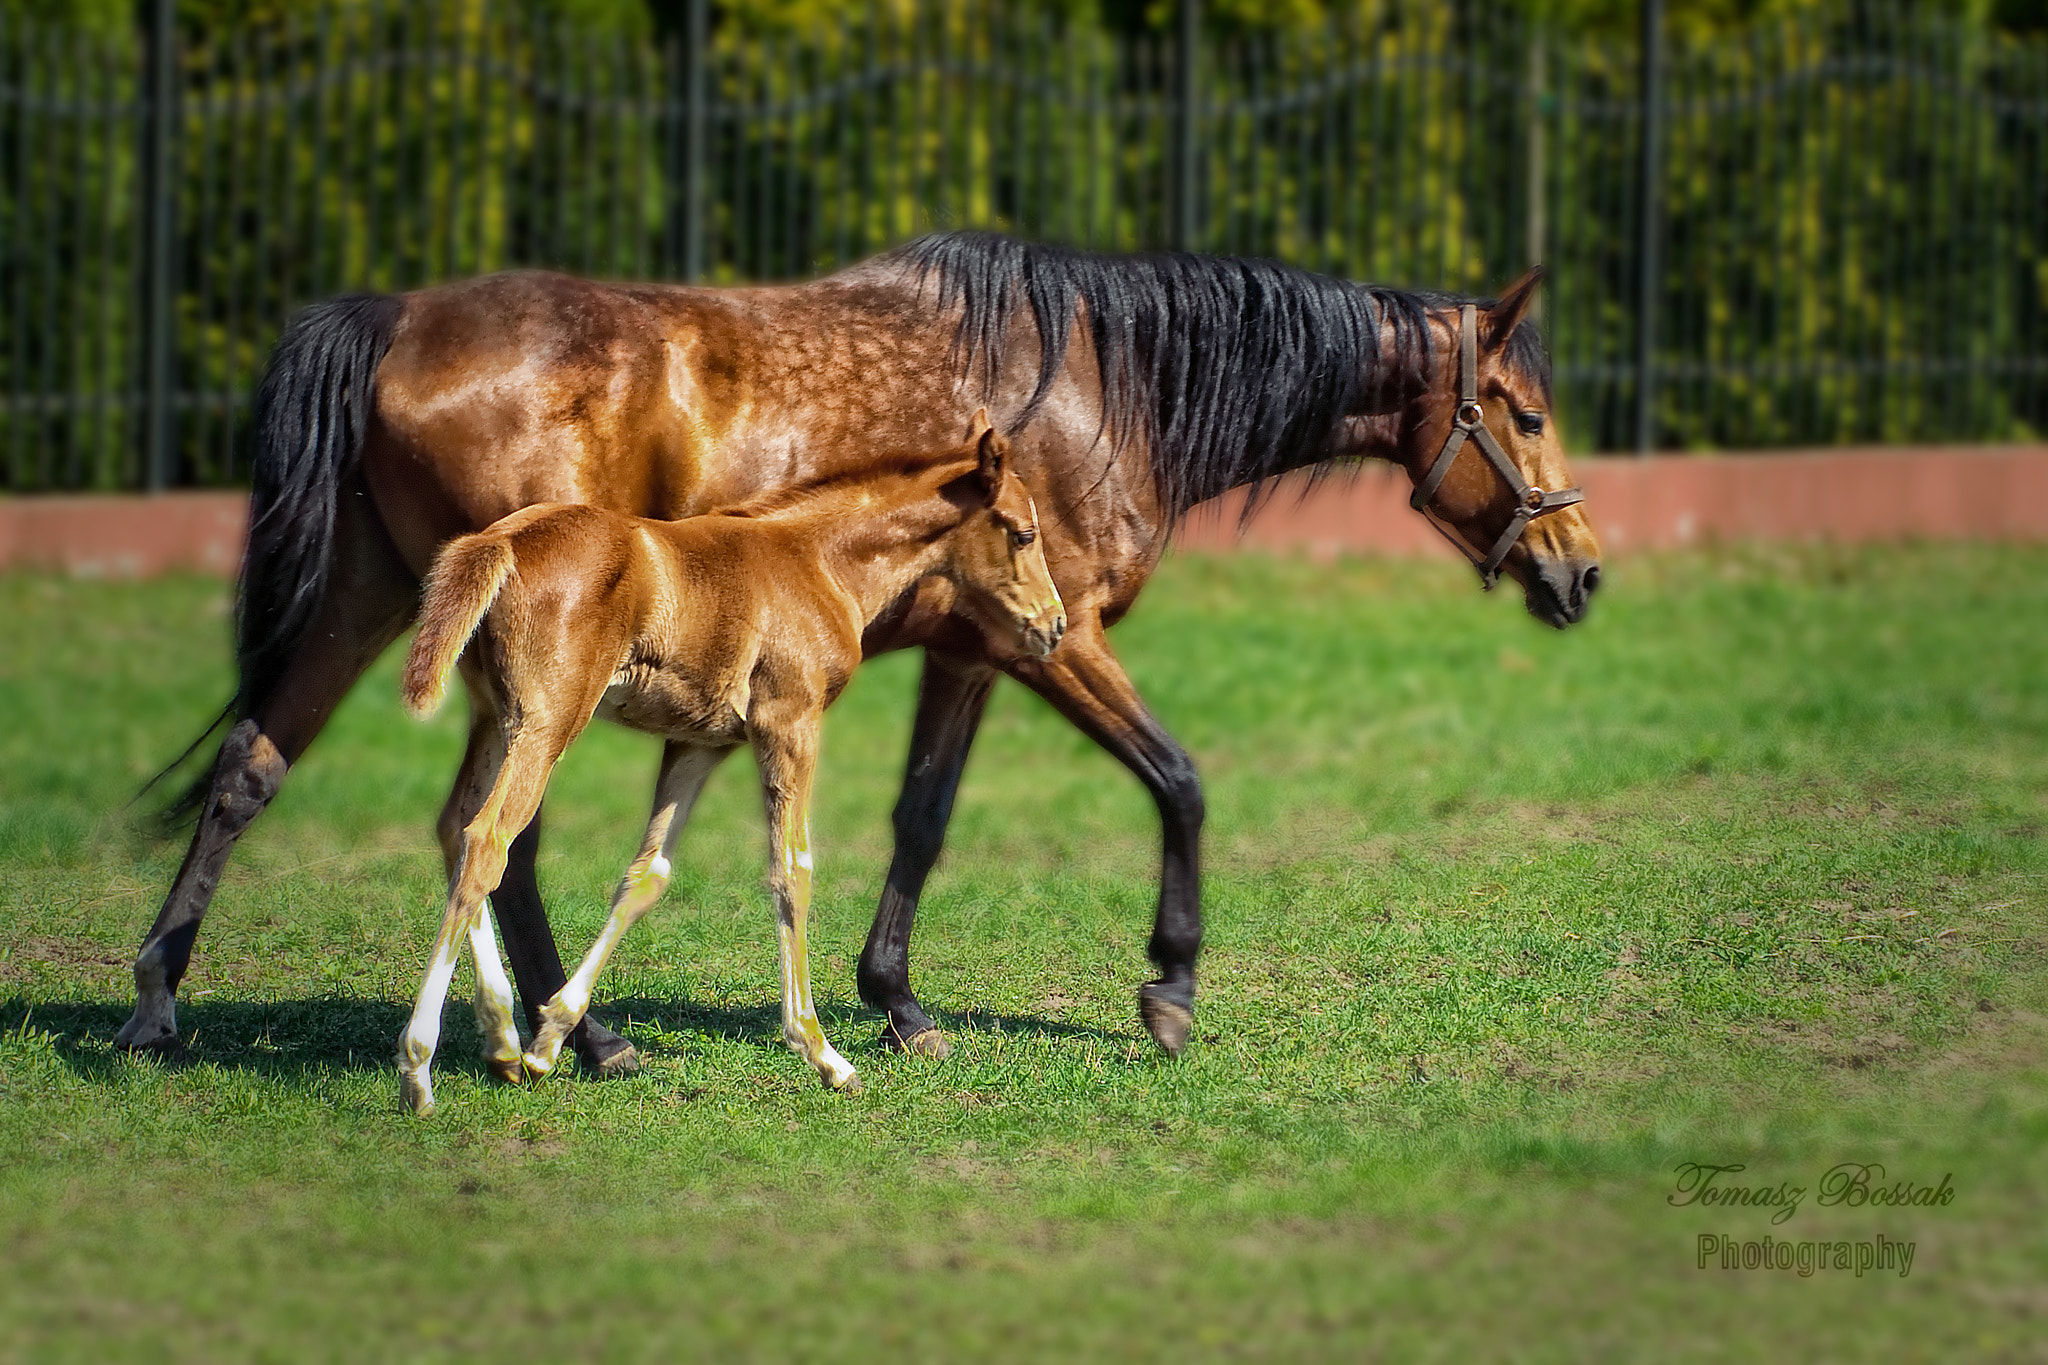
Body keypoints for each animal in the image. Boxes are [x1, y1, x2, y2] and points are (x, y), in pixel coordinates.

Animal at [389, 413, 1064, 1113]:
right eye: (1023, 533)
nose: (1055, 624)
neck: (818, 562)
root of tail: (502, 541)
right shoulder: (789, 722)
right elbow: (793, 870)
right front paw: (822, 1052)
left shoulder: (700, 743)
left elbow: (647, 875)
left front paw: (550, 1039)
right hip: (548, 720)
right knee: (489, 838)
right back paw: (418, 1066)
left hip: (494, 717)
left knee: (454, 826)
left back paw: (501, 1041)